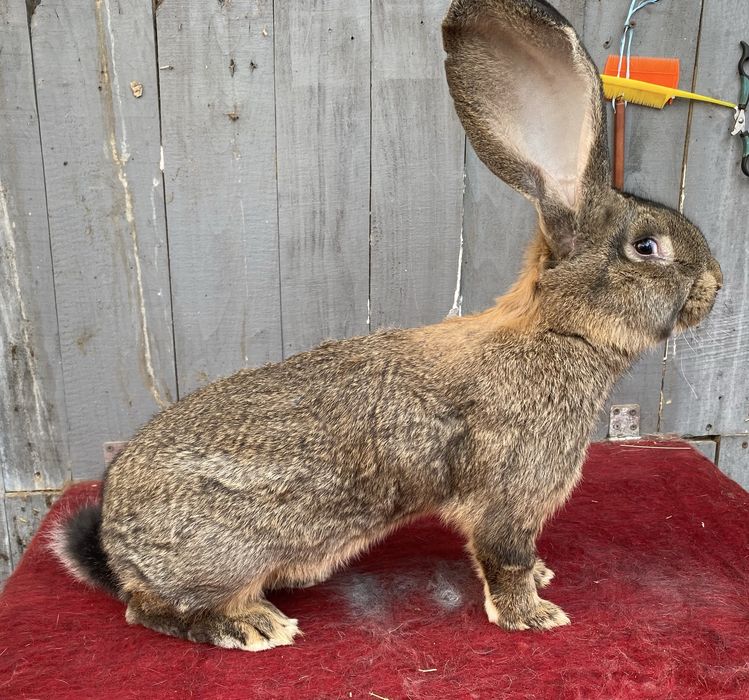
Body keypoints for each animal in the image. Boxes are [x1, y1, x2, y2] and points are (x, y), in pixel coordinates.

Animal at [51, 0, 722, 651]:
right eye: (646, 247)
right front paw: (532, 615)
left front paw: (542, 579)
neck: (560, 329)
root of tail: (116, 546)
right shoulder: (512, 494)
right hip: (223, 558)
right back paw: (250, 627)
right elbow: (503, 557)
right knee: (150, 610)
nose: (716, 284)